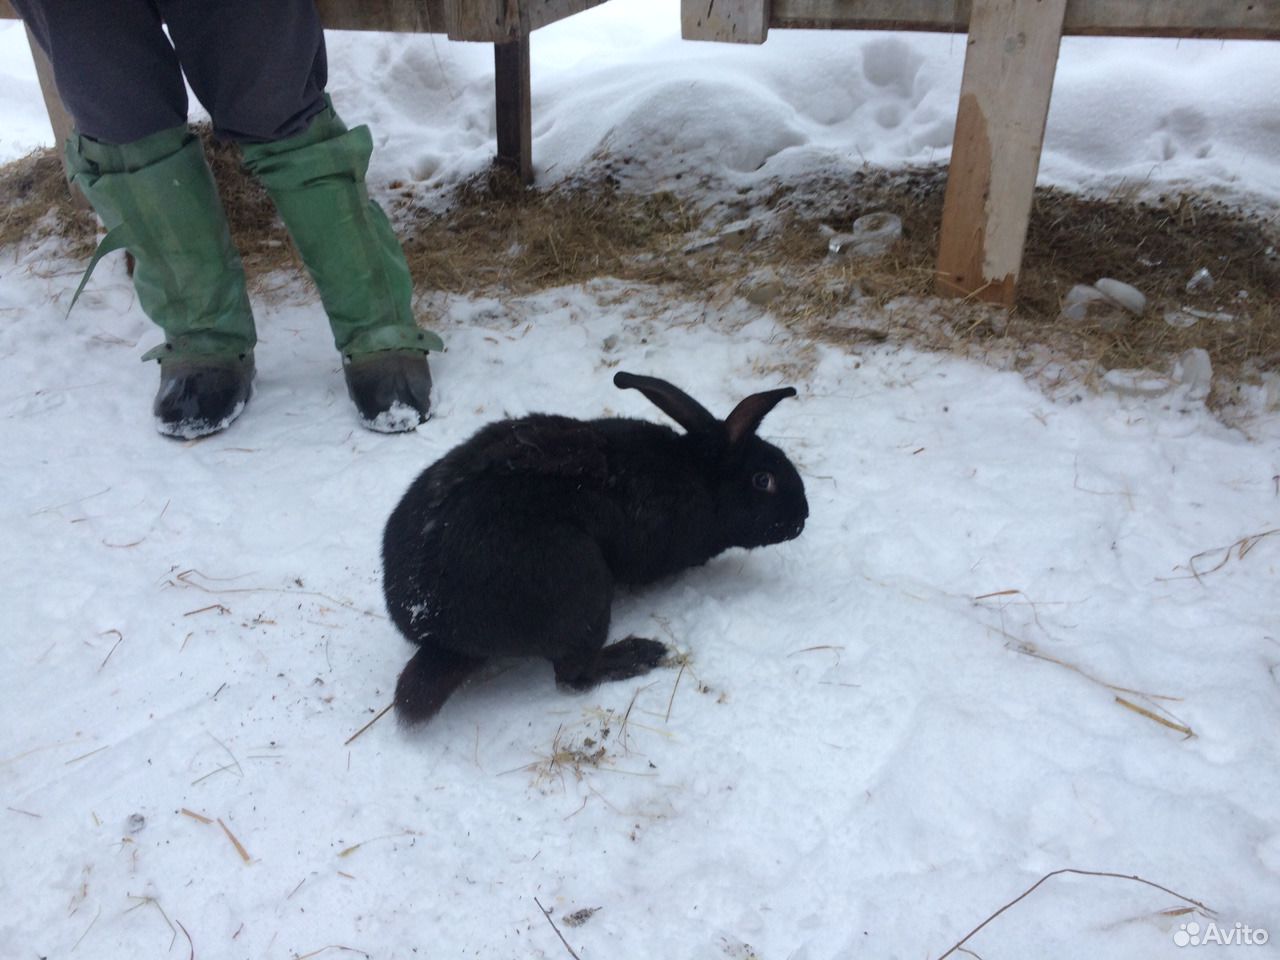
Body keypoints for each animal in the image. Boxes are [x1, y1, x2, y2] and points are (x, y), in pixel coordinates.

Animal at [376, 371, 808, 727]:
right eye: (763, 480)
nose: (802, 517)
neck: (701, 478)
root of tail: (438, 632)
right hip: (581, 585)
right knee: (573, 674)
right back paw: (639, 654)